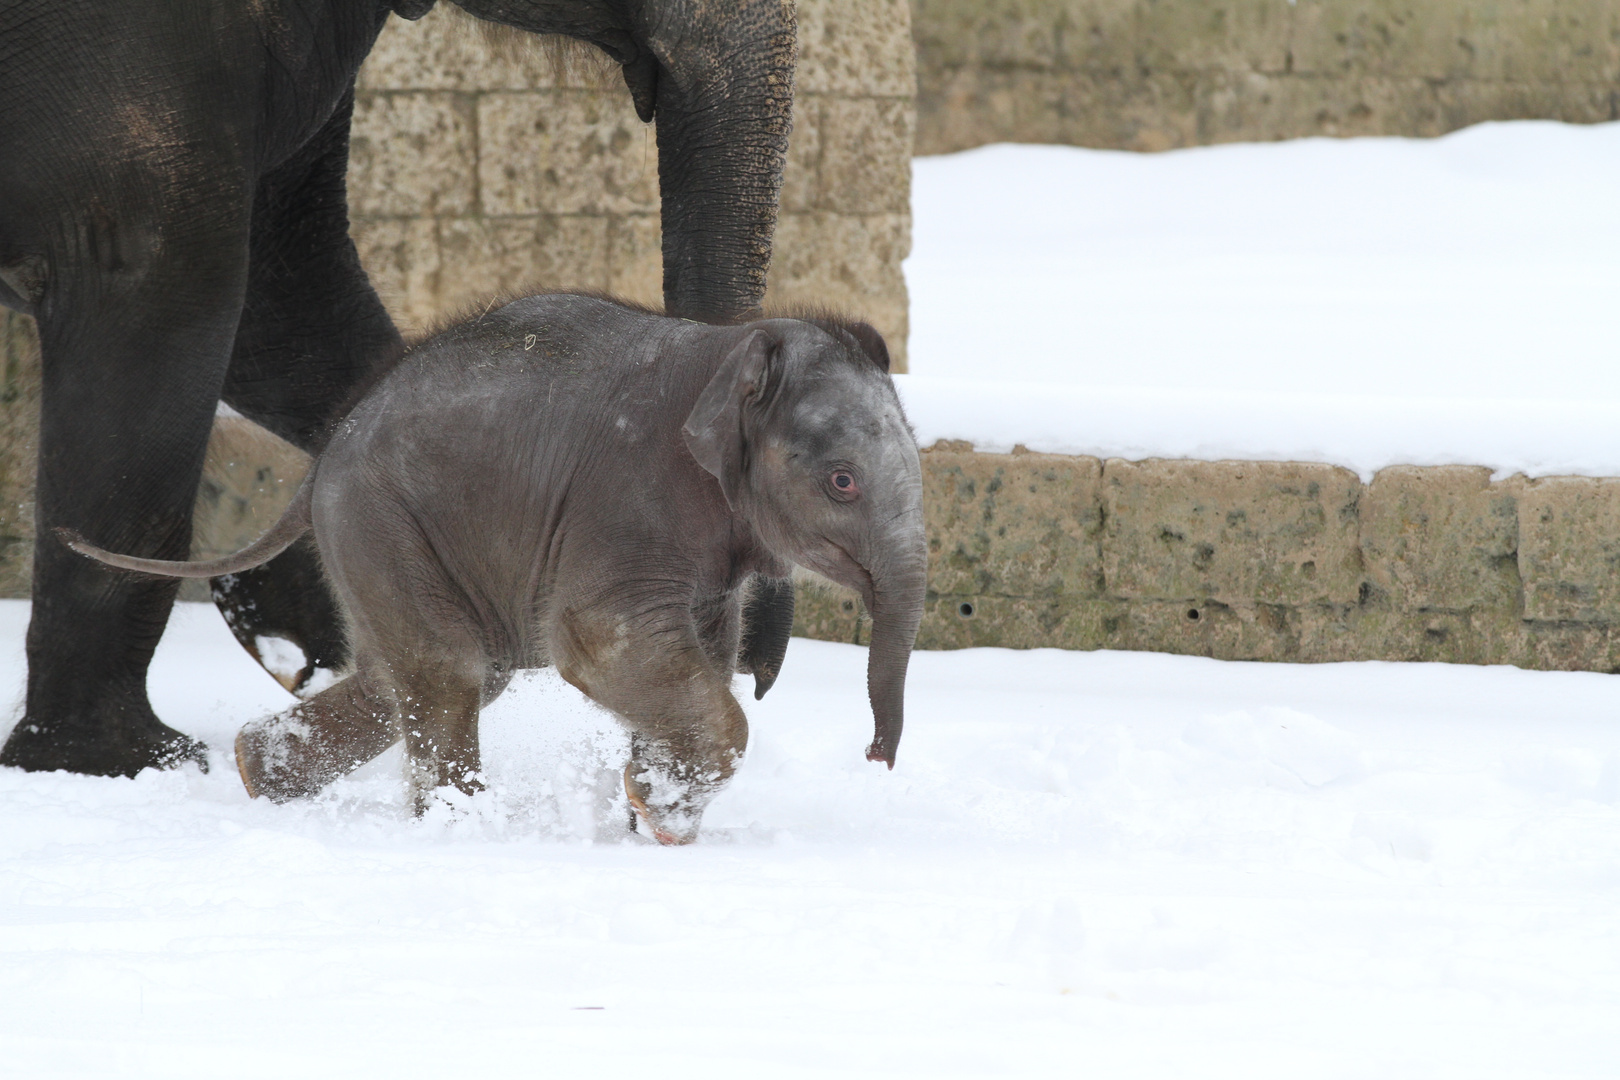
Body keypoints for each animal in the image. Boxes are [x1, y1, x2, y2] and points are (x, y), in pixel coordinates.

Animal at [66, 296, 926, 841]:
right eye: (841, 482)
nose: (875, 759)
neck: (729, 346)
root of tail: (319, 463)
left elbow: (698, 659)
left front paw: (653, 812)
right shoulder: (629, 502)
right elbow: (598, 643)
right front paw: (662, 818)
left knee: (416, 678)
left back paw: (256, 773)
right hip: (382, 522)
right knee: (450, 670)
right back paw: (459, 828)